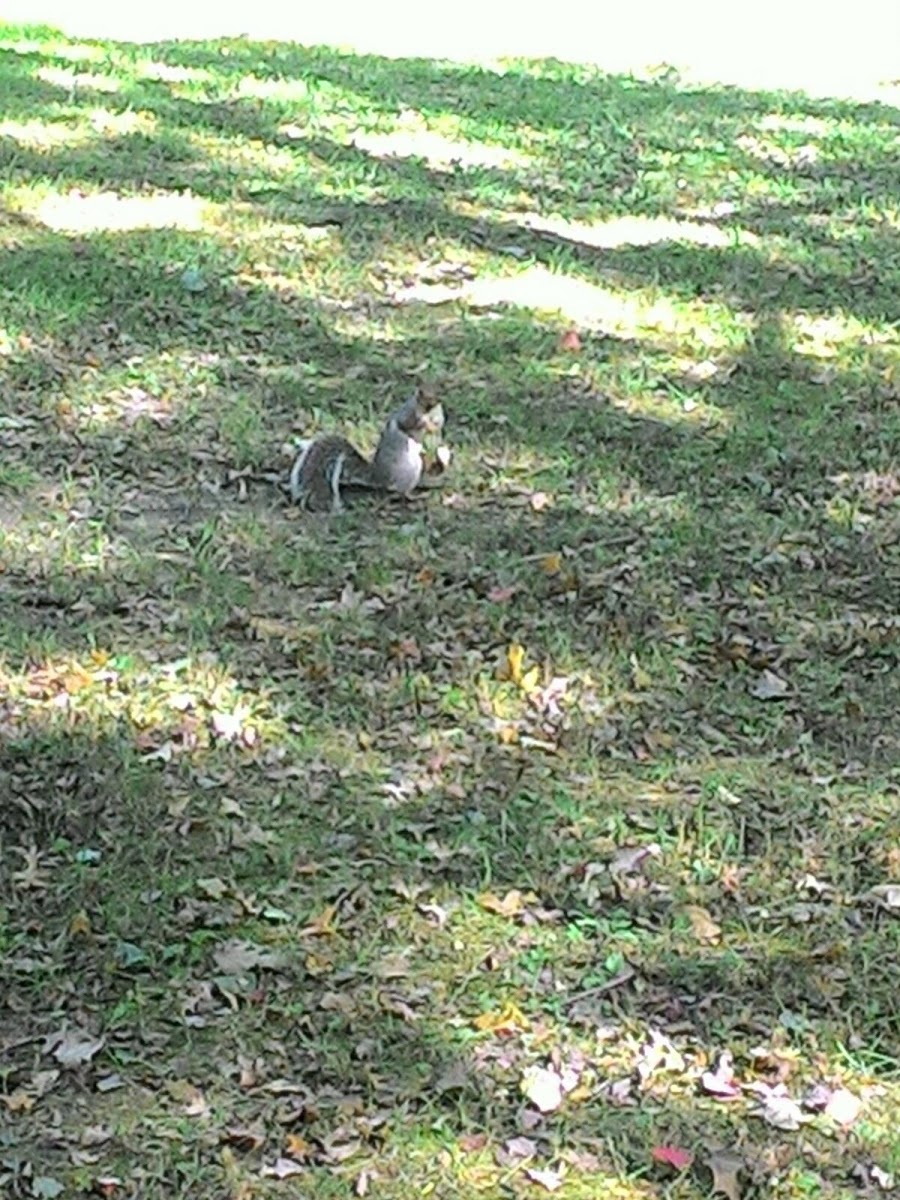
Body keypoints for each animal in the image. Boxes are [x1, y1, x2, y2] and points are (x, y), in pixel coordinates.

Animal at [290, 388, 446, 511]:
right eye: (421, 394)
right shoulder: (408, 414)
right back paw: (416, 495)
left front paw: (434, 426)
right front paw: (425, 423)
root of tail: (380, 476)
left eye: (437, 390)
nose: (438, 401)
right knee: (399, 491)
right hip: (410, 470)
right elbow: (408, 425)